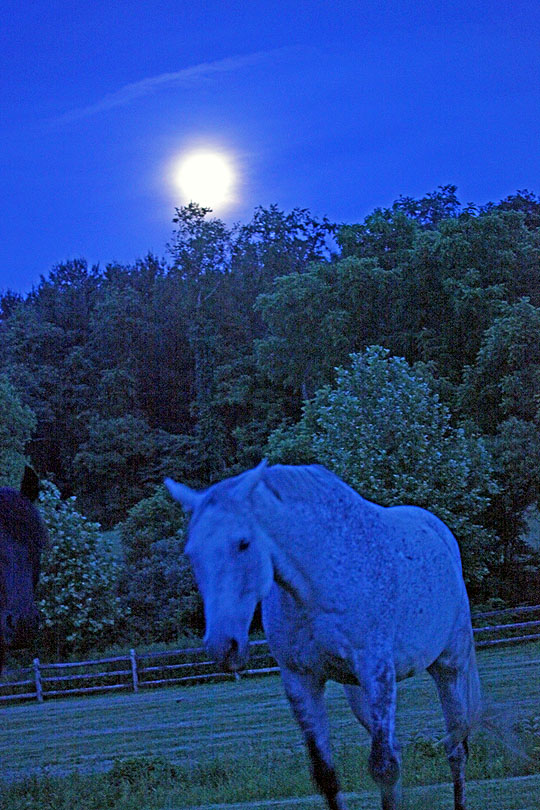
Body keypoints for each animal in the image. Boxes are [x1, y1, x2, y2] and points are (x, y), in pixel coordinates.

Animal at [166, 460, 480, 808]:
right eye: (191, 554)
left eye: (243, 543)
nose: (223, 646)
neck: (317, 582)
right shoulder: (301, 681)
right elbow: (327, 776)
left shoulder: (377, 672)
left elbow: (383, 767)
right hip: (358, 694)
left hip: (449, 668)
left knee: (456, 750)